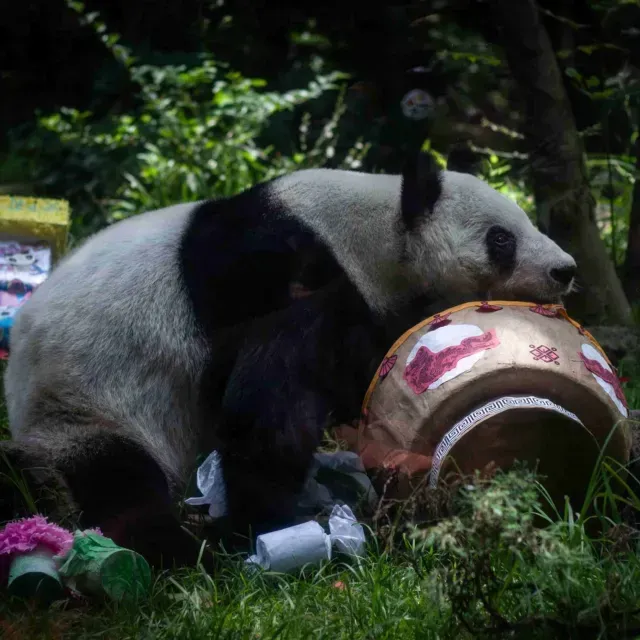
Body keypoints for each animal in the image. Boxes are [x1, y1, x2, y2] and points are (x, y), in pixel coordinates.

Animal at [0, 151, 577, 568]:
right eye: (501, 238)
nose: (565, 269)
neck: (370, 232)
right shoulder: (272, 268)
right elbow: (271, 394)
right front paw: (267, 520)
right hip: (83, 403)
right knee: (119, 484)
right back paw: (181, 553)